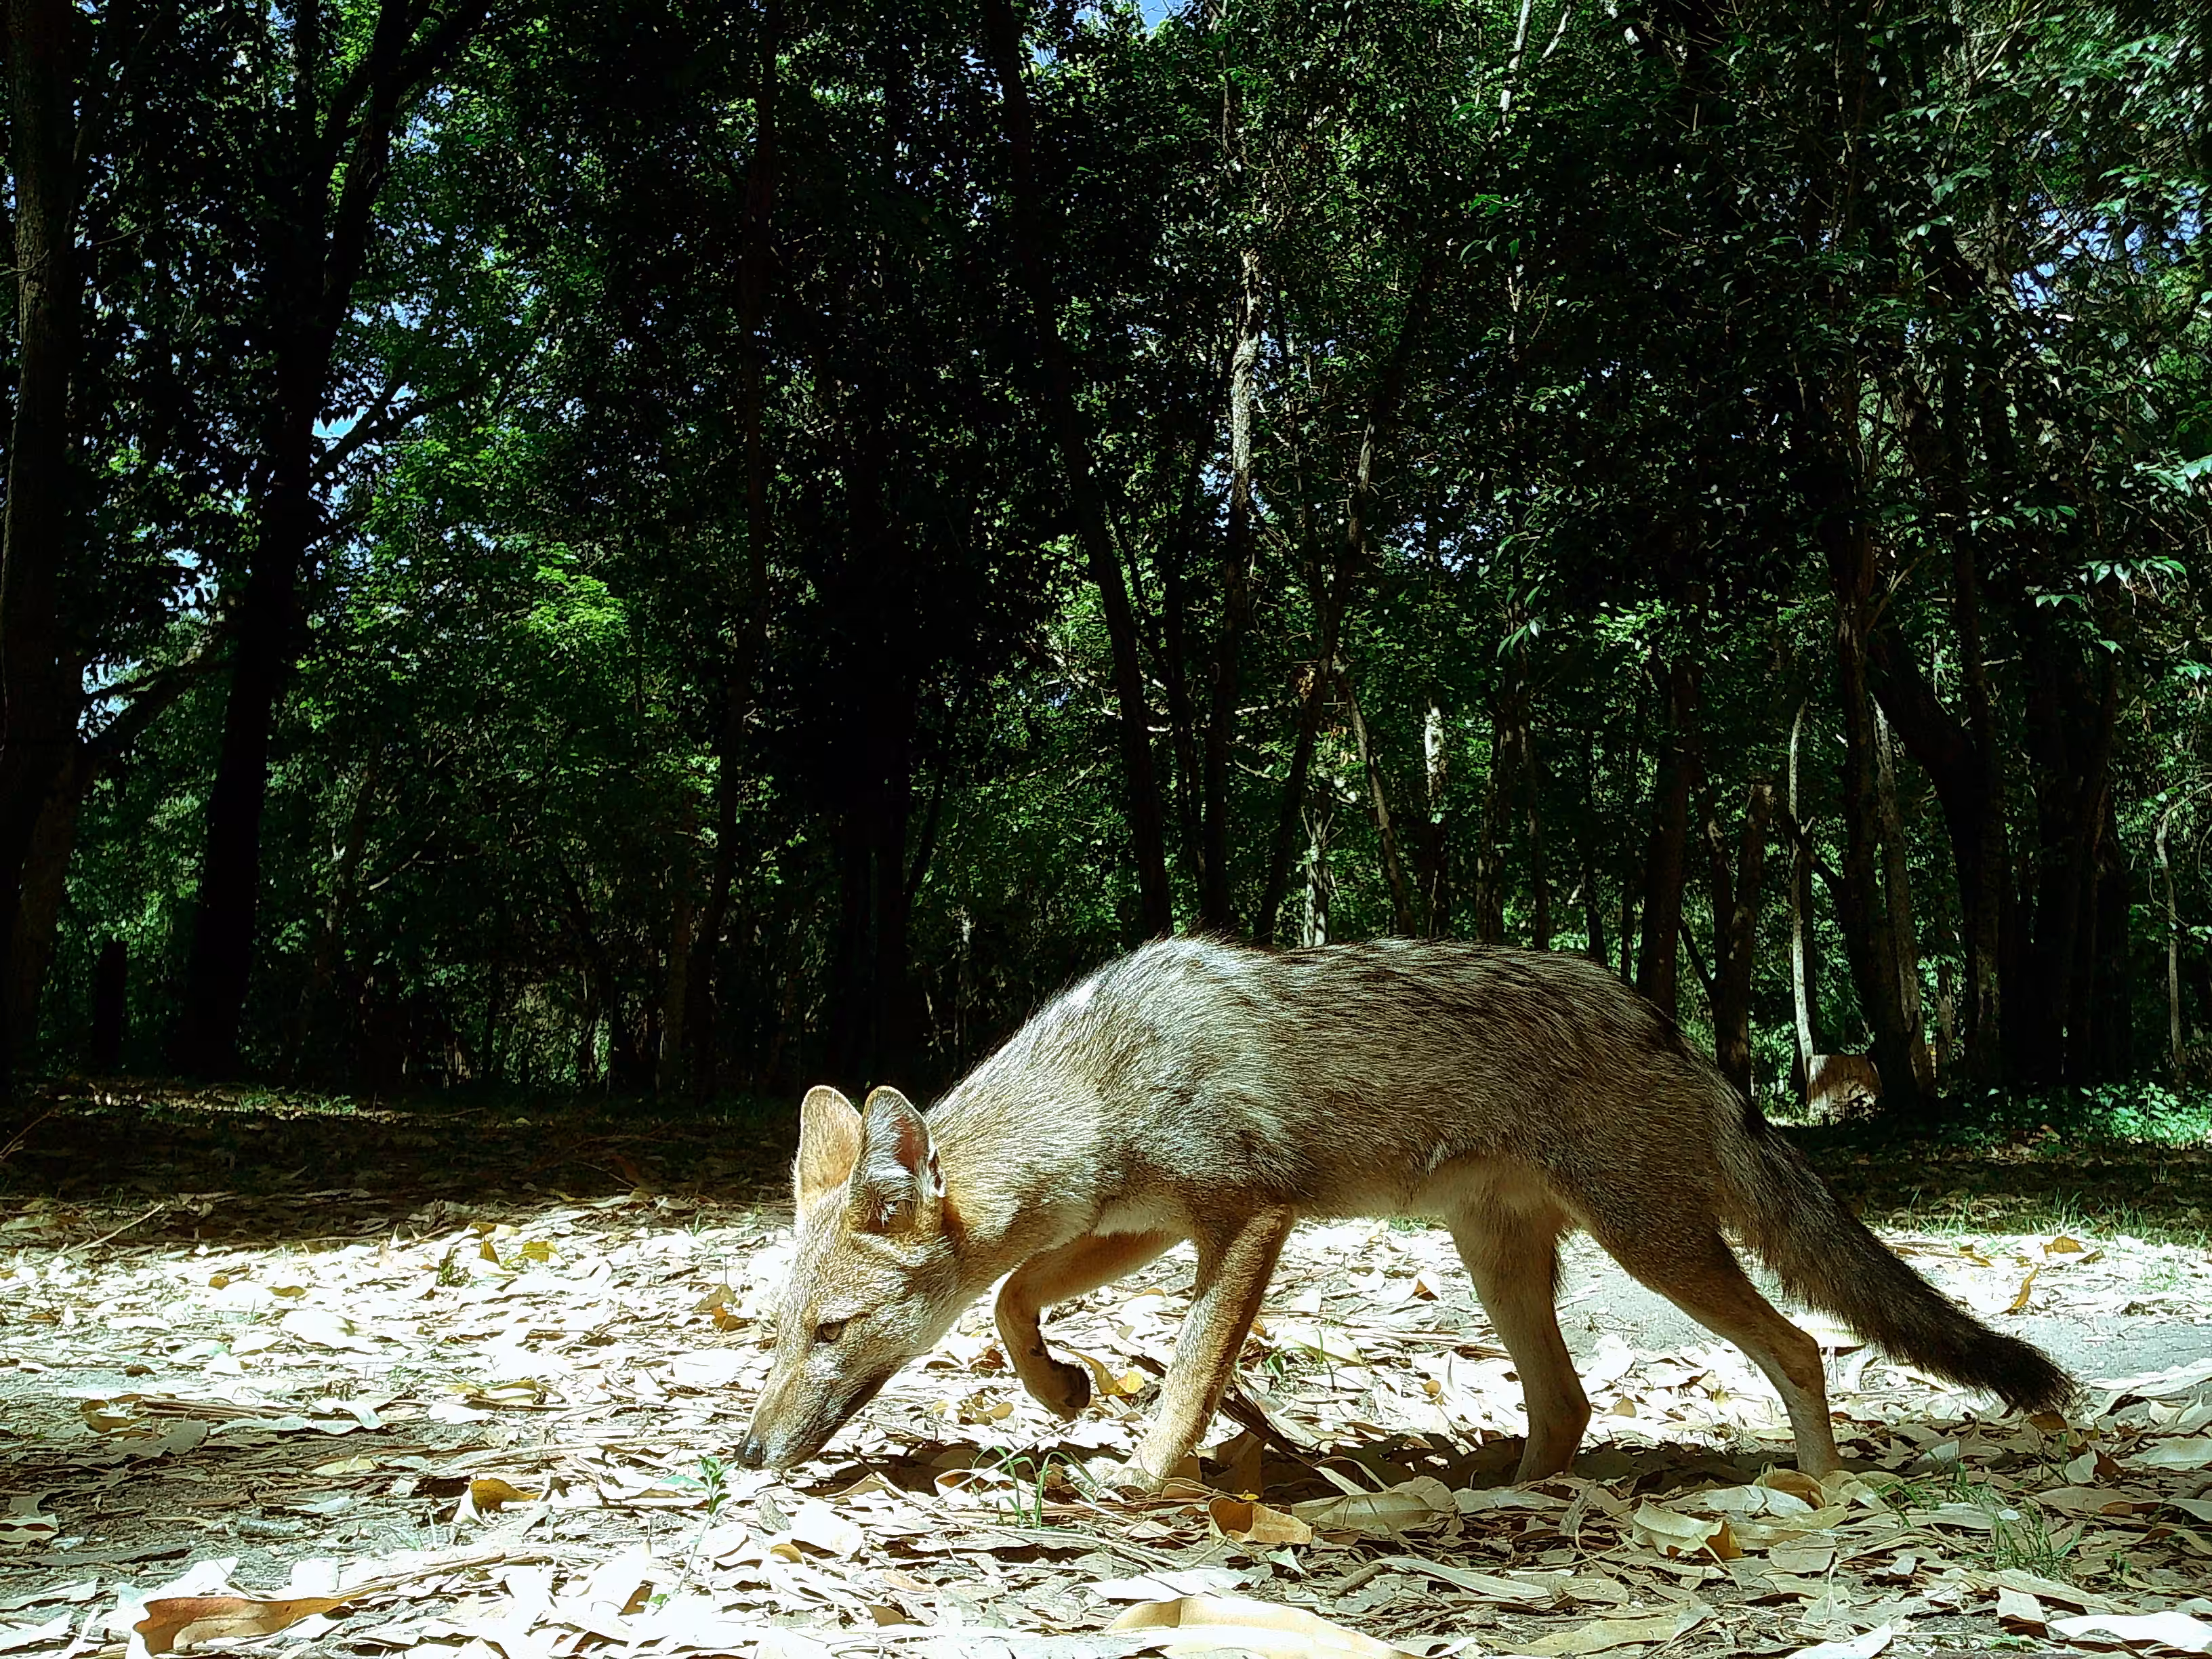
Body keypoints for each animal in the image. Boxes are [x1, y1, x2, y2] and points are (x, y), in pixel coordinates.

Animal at [737, 936, 2072, 1487]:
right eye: (781, 1335)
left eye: (829, 1334)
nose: (744, 1454)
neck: (1103, 1078)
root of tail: (1679, 1034)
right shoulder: (1149, 1221)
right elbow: (1015, 1293)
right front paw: (1061, 1387)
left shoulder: (1248, 1218)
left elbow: (1187, 1372)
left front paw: (1145, 1477)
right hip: (1500, 1266)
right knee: (1569, 1404)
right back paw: (1507, 1499)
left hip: (1655, 1250)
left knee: (1797, 1348)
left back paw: (1816, 1495)